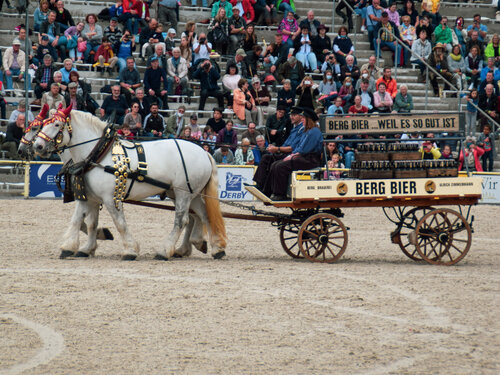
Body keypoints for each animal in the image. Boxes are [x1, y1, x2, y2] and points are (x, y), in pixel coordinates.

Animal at [31, 106, 227, 262]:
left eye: (57, 125)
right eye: (43, 123)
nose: (37, 146)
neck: (99, 154)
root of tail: (203, 152)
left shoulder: (110, 199)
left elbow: (119, 223)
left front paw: (130, 251)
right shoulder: (89, 198)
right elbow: (82, 221)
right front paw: (76, 248)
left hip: (183, 193)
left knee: (182, 220)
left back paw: (165, 251)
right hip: (188, 193)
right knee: (203, 215)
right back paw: (214, 248)